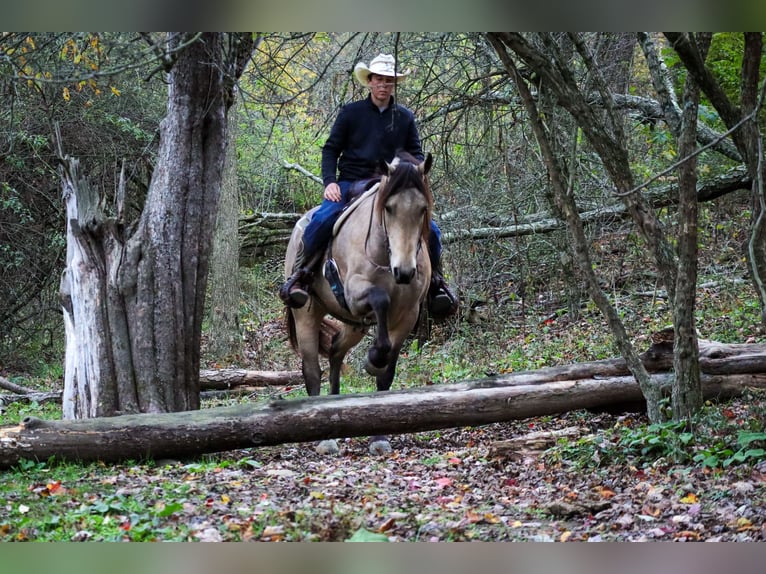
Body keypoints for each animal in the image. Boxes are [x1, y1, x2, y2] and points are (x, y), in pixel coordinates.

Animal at [283, 152, 434, 455]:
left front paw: (379, 438)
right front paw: (373, 359)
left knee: (335, 352)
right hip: (306, 315)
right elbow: (381, 299)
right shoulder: (355, 295)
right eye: (389, 208)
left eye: (423, 209)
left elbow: (386, 372)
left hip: (354, 325)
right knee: (312, 370)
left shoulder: (408, 314)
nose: (404, 272)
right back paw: (323, 437)